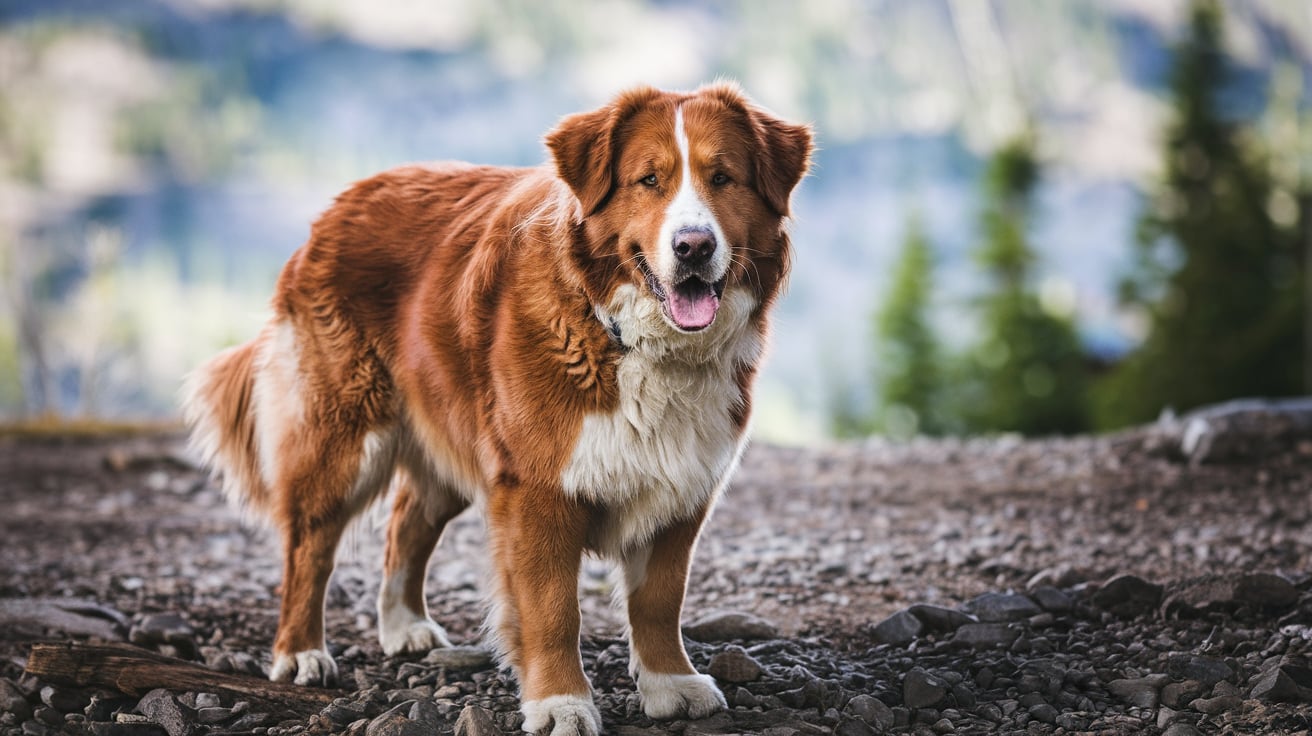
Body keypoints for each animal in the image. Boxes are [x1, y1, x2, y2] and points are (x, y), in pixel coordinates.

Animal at [184, 83, 808, 729]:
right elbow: (554, 609)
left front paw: (670, 683)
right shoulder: (537, 490)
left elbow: (660, 600)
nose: (694, 246)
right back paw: (301, 652)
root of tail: (338, 204)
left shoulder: (681, 485)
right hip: (343, 438)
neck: (622, 333)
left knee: (406, 523)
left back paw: (404, 626)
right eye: (649, 180)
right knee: (309, 545)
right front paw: (560, 702)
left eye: (722, 177)